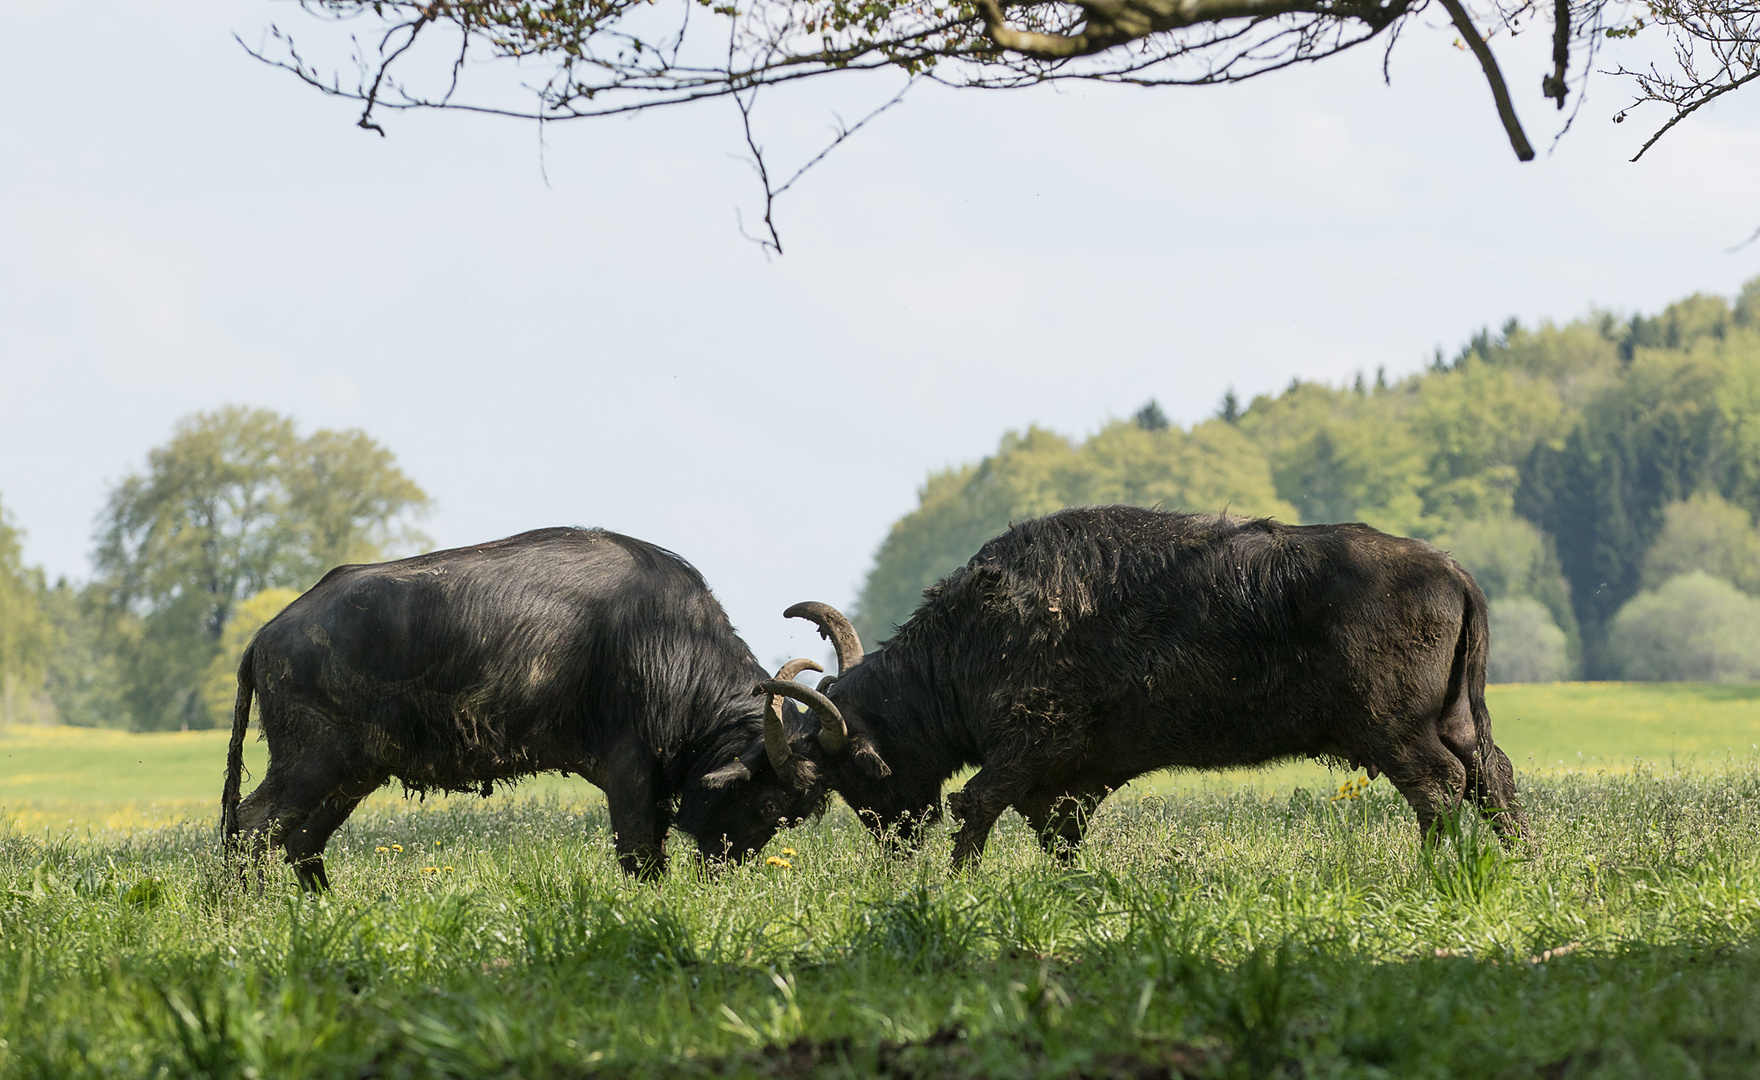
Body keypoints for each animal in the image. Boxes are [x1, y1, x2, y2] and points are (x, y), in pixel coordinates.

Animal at [223, 527, 820, 893]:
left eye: (790, 818)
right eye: (768, 805)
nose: (722, 870)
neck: (671, 642)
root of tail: (268, 633)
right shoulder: (628, 769)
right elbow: (639, 857)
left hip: (353, 772)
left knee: (302, 842)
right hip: (311, 763)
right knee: (250, 827)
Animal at [756, 506, 1527, 872]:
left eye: (858, 766)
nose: (897, 845)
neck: (968, 638)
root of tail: (1452, 571)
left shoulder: (1030, 747)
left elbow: (975, 804)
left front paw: (954, 884)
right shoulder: (1067, 778)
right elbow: (1055, 830)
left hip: (1395, 730)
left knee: (1438, 787)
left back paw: (1427, 872)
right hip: (1459, 720)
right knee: (1490, 777)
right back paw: (1522, 863)